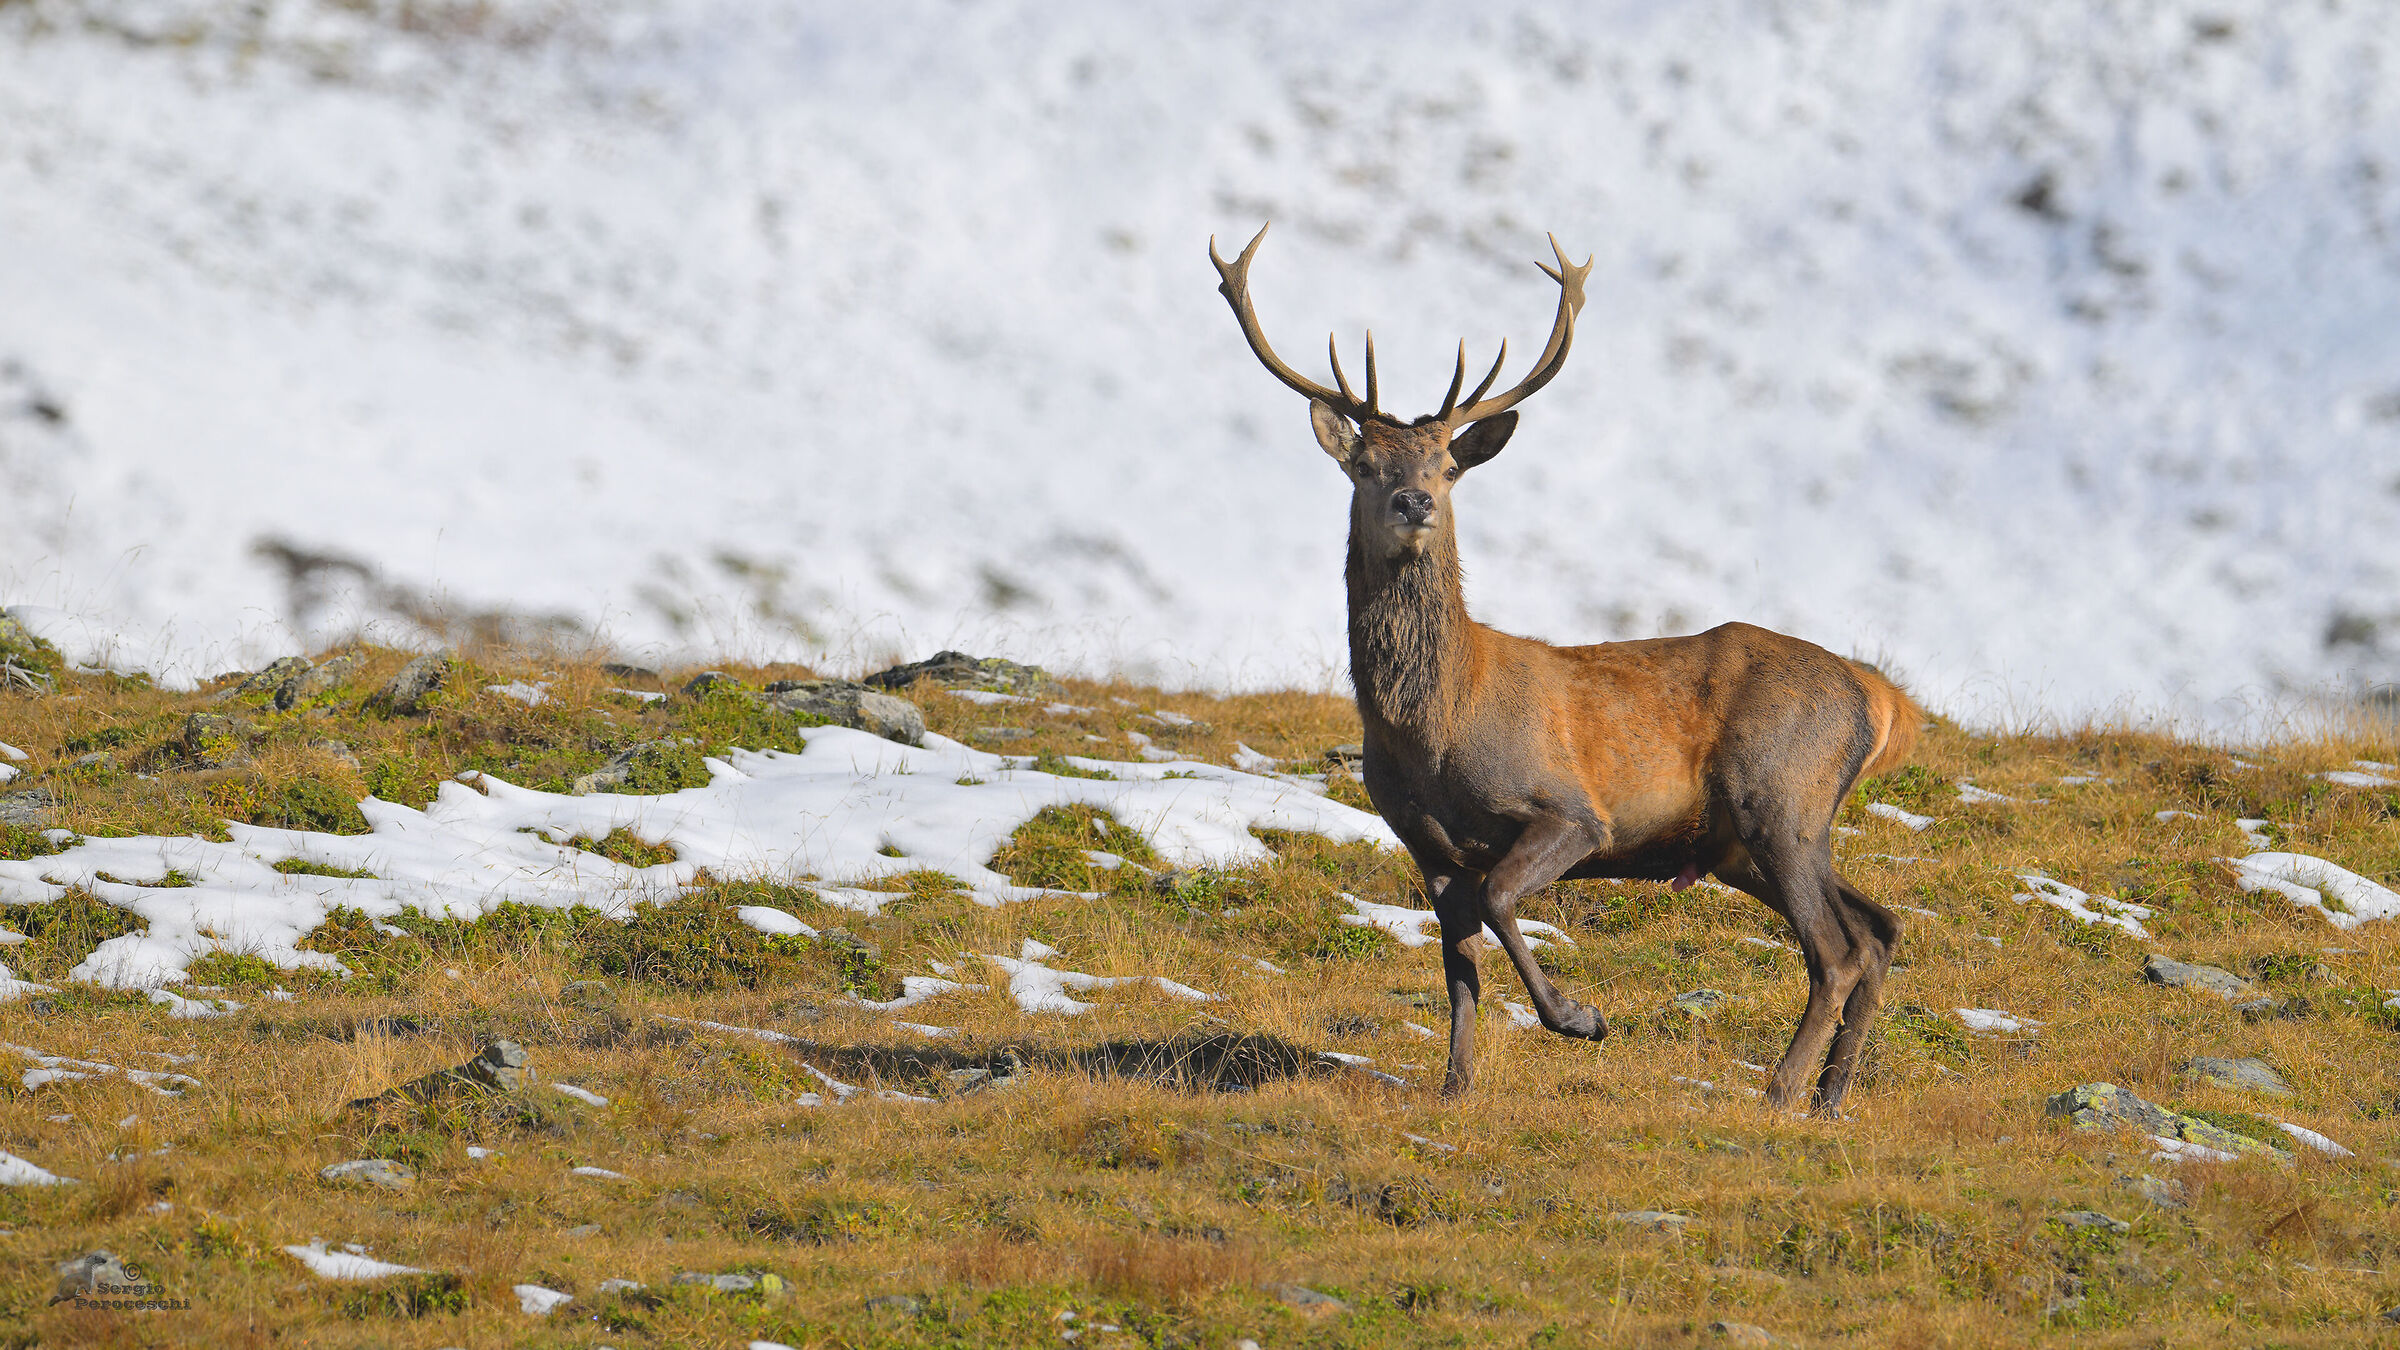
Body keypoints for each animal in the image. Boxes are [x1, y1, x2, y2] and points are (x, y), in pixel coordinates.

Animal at [1208, 224, 1923, 1115]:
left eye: (1448, 466)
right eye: (1366, 464)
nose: (1415, 502)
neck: (1431, 732)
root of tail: (1881, 698)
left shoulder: (1573, 813)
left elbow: (1502, 900)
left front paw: (1581, 1019)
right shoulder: (1427, 846)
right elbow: (1459, 969)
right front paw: (1456, 1087)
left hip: (1780, 796)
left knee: (1836, 948)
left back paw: (1780, 1092)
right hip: (1755, 837)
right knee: (1881, 926)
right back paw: (1829, 1097)